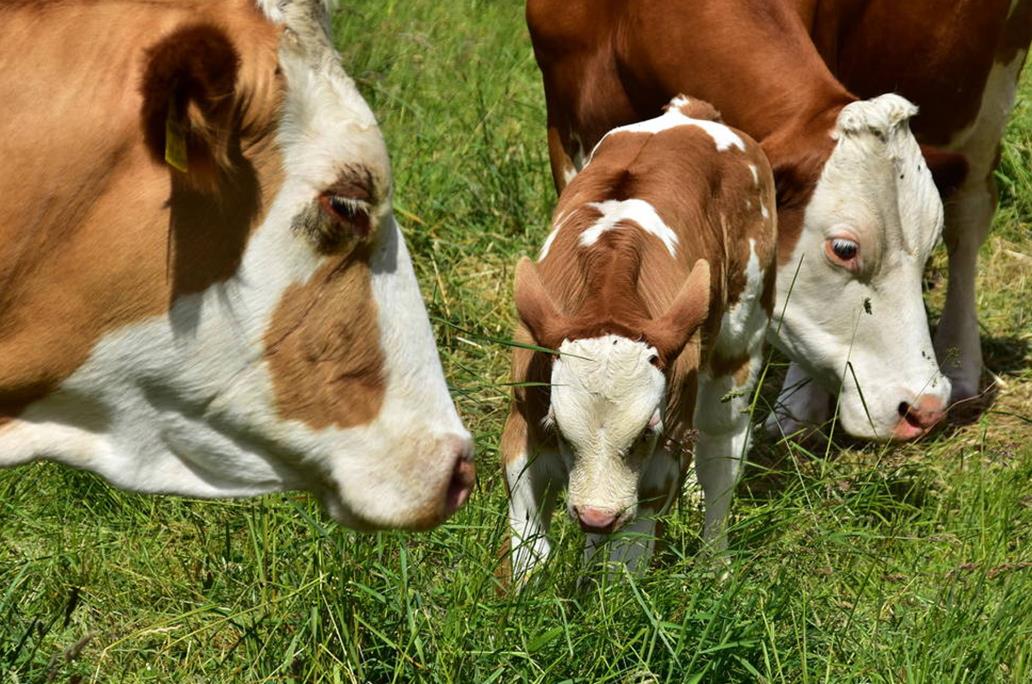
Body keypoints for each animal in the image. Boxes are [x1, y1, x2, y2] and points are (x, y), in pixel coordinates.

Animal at [499, 94, 776, 577]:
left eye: (646, 434)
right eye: (559, 429)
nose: (595, 515)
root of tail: (691, 113)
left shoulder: (668, 445)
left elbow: (627, 556)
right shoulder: (523, 424)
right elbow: (530, 548)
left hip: (740, 340)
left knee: (722, 450)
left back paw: (714, 565)